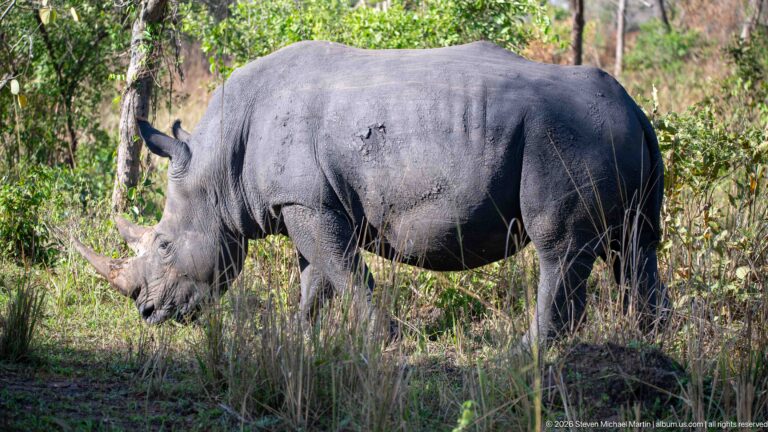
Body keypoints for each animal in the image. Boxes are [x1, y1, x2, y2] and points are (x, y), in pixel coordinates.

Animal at [74, 40, 666, 344]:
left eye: (165, 245)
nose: (147, 313)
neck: (218, 167)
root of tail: (634, 108)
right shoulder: (303, 203)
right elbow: (315, 277)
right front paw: (299, 337)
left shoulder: (308, 202)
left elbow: (344, 272)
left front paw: (381, 341)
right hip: (608, 135)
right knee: (635, 246)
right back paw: (649, 340)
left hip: (564, 137)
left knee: (559, 249)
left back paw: (527, 354)